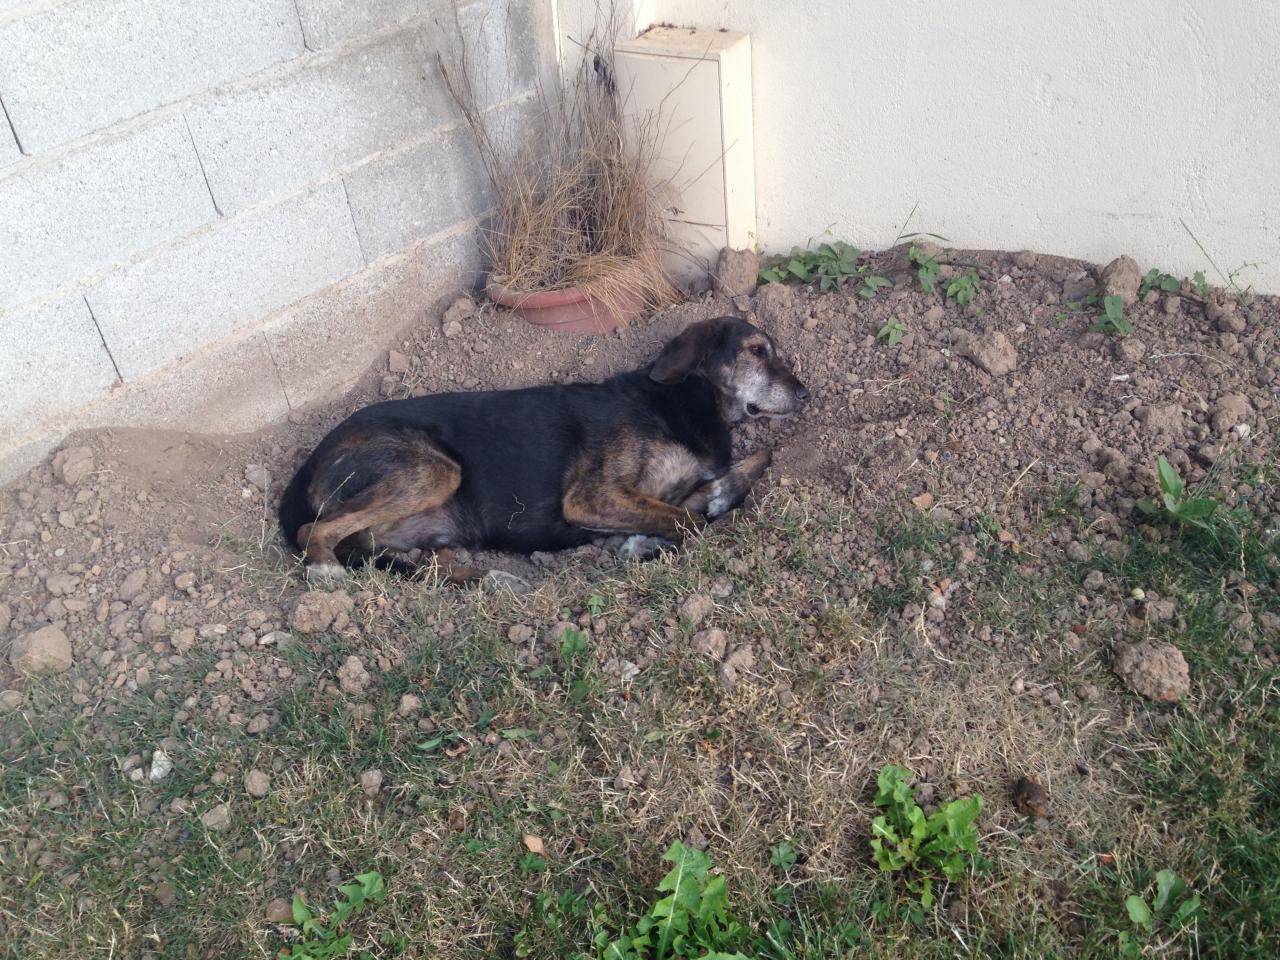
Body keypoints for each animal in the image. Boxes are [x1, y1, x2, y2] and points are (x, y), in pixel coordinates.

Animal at [280, 320, 808, 583]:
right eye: (757, 350)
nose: (805, 394)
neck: (682, 399)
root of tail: (308, 462)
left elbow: (745, 472)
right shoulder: (590, 496)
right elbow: (689, 522)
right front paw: (645, 542)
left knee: (405, 557)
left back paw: (486, 577)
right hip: (431, 469)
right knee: (315, 531)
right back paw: (326, 571)